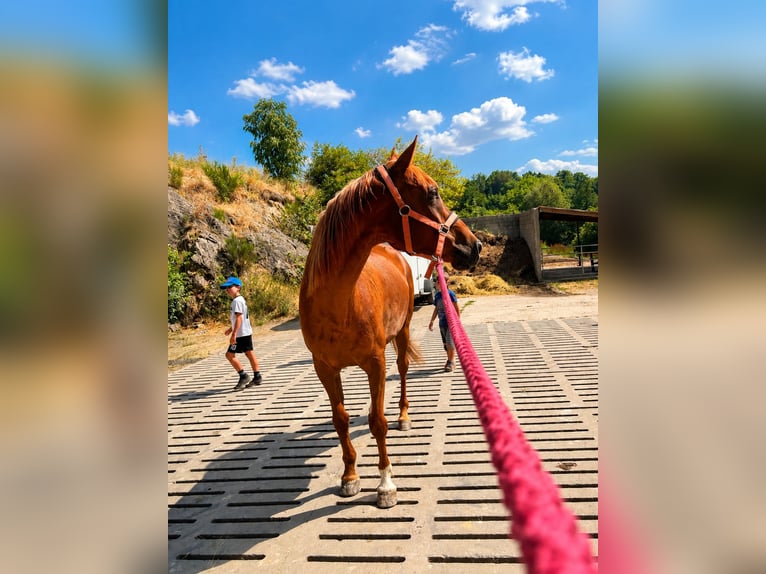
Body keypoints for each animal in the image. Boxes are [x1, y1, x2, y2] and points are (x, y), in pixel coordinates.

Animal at [299, 137, 482, 508]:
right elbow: (341, 421)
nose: (475, 245)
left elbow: (378, 422)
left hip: (402, 334)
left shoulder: (375, 362)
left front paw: (385, 483)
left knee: (402, 372)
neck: (338, 304)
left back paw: (404, 415)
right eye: (432, 192)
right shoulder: (324, 368)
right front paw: (350, 476)